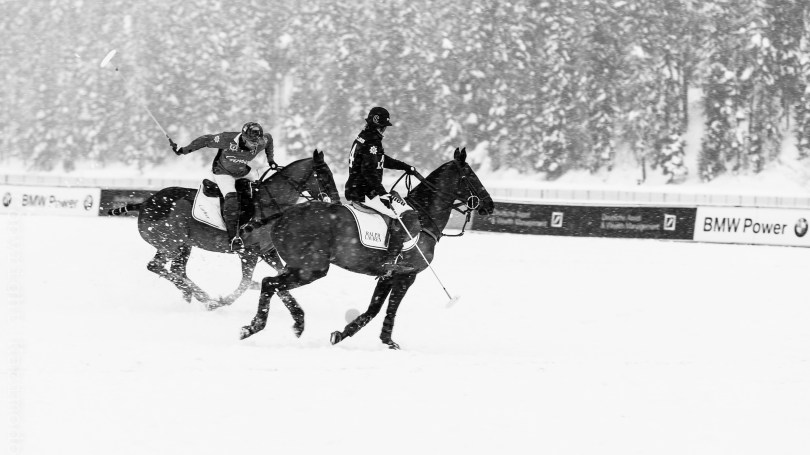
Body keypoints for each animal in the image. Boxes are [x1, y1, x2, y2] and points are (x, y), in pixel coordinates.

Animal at [109, 150, 341, 311]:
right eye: (323, 174)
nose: (337, 202)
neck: (269, 202)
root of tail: (145, 203)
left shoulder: (267, 251)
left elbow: (279, 274)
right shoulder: (248, 253)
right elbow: (244, 283)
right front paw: (223, 301)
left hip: (183, 245)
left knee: (176, 270)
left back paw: (192, 294)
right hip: (170, 243)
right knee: (156, 266)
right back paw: (204, 297)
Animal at [239, 147, 495, 349]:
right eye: (471, 176)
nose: (490, 205)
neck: (425, 217)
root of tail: (282, 215)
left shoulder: (388, 275)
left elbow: (374, 308)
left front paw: (341, 334)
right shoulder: (407, 274)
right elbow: (389, 308)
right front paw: (389, 342)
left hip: (297, 265)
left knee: (271, 283)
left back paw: (284, 324)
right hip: (311, 268)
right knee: (269, 283)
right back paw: (255, 326)